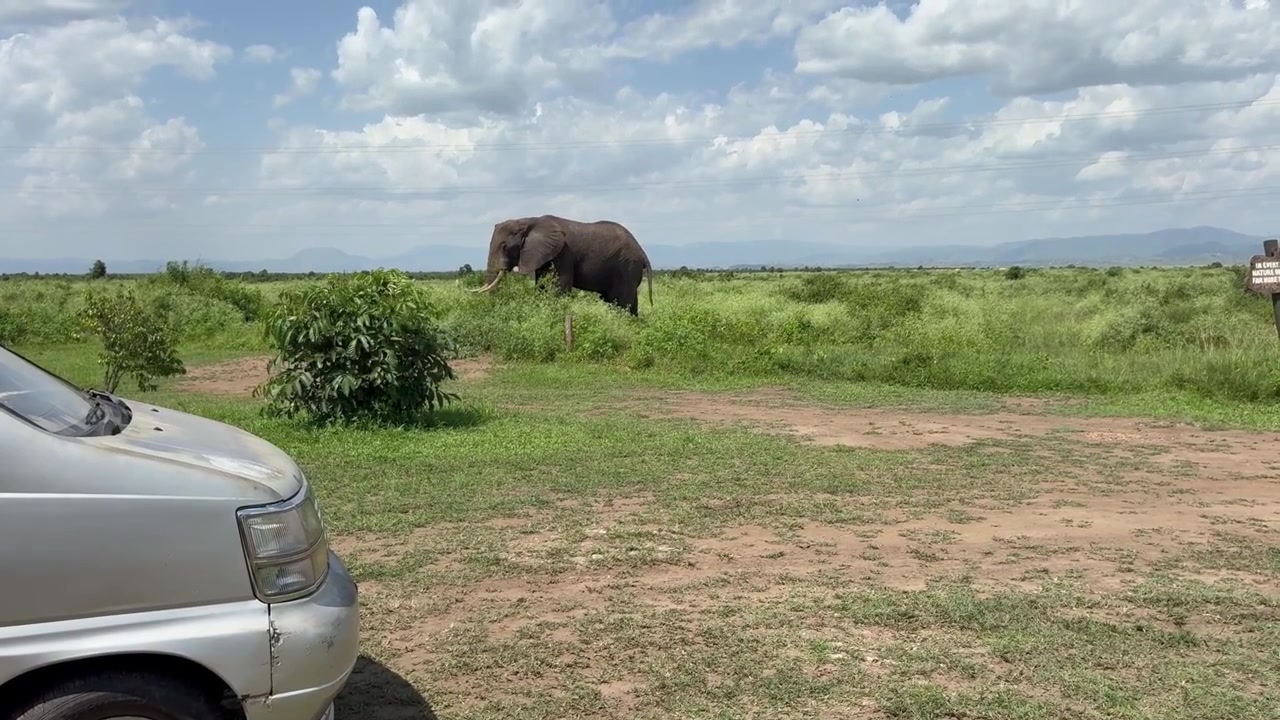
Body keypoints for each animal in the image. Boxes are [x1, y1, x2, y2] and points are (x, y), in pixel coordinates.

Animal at [469, 214, 654, 316]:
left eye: (505, 247)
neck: (529, 220)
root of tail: (642, 251)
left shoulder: (563, 252)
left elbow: (560, 287)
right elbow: (541, 285)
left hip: (627, 267)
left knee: (621, 301)